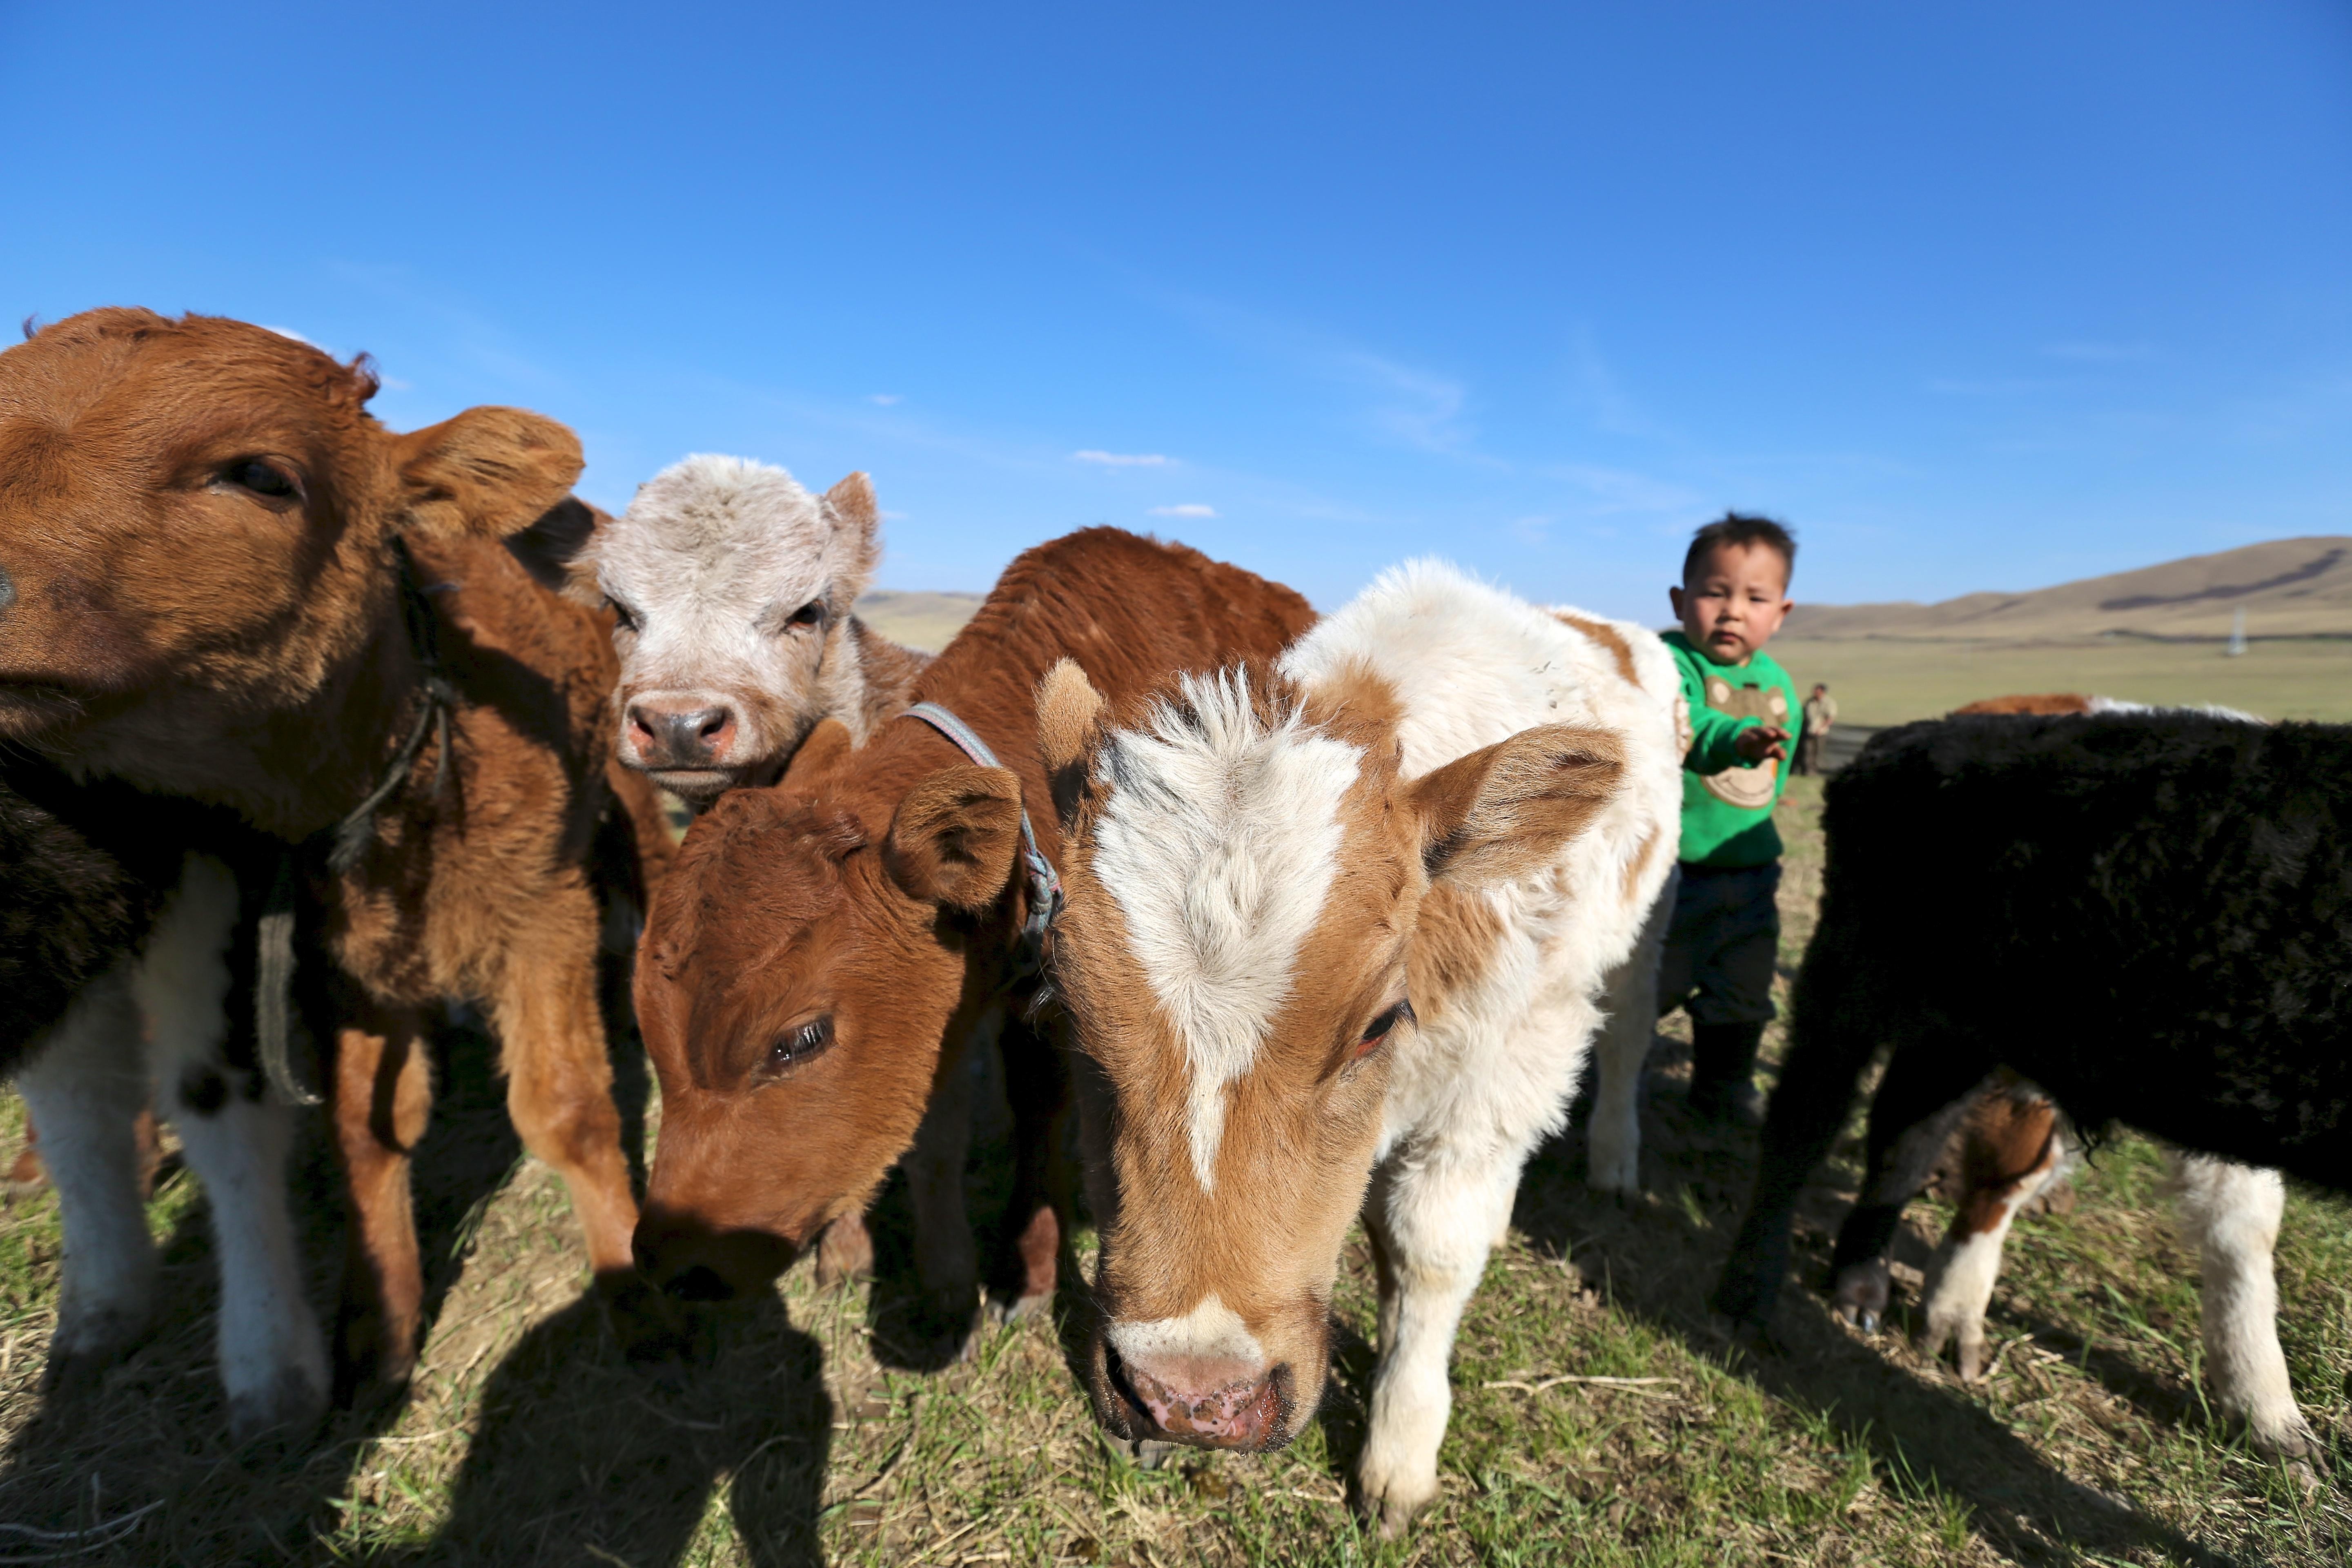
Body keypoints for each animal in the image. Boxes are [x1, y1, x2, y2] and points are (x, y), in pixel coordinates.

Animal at [0, 308, 672, 1431]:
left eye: (262, 475)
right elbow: (370, 1127)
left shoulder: (544, 921)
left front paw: (632, 1283)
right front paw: (379, 1327)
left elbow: (567, 1112)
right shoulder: (344, 953)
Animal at [1035, 561, 1680, 1536]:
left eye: (1379, 1021)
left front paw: (1401, 1446)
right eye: (1073, 1009)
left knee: (1632, 1032)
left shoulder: (1511, 1060)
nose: (1192, 1399)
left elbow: (1431, 1248)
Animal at [1714, 711, 2346, 1459]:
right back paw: (1747, 1298)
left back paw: (1861, 1287)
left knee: (1904, 1137)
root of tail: (1906, 736)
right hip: (1854, 980)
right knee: (1805, 1123)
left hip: (1957, 1028)